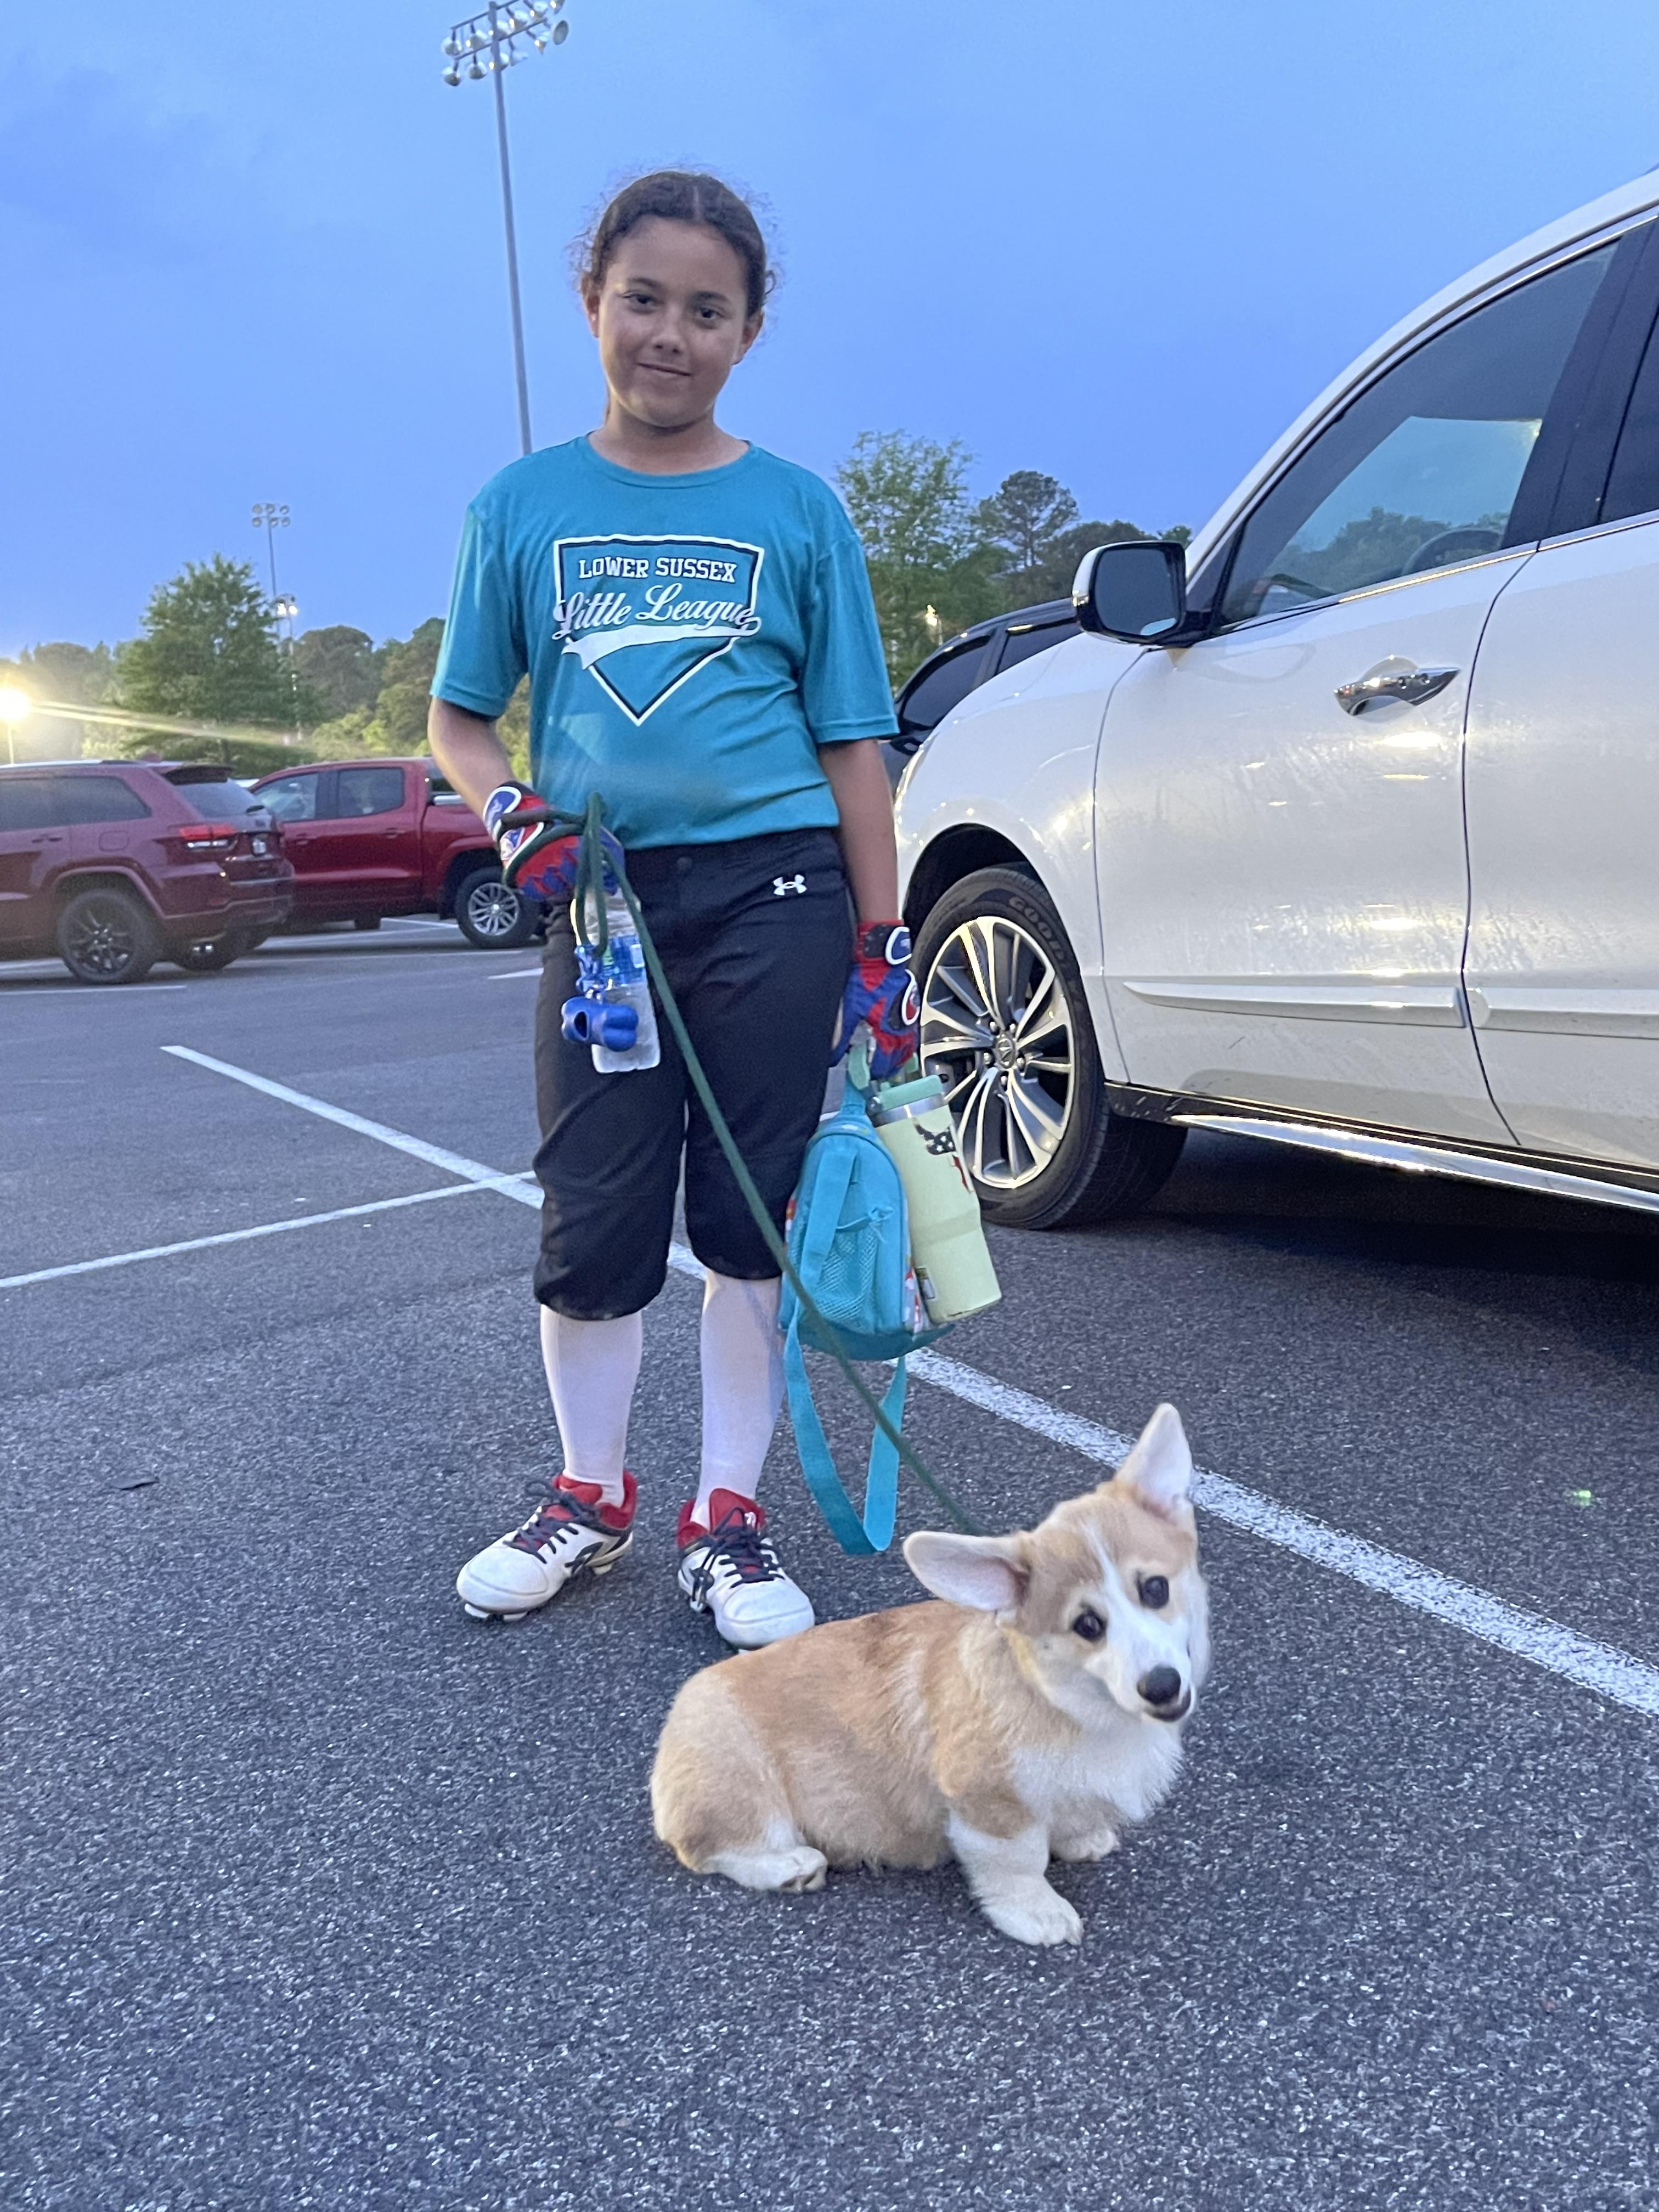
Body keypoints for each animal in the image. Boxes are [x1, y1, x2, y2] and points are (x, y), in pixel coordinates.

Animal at [650, 1403, 1208, 1945]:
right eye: (1087, 1625)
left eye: (1155, 1588)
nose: (1162, 1687)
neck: (1072, 1703)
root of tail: (673, 1723)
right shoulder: (989, 1804)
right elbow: (1018, 1863)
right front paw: (1038, 1914)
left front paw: (1083, 1838)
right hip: (740, 1781)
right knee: (710, 1848)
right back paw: (791, 1866)